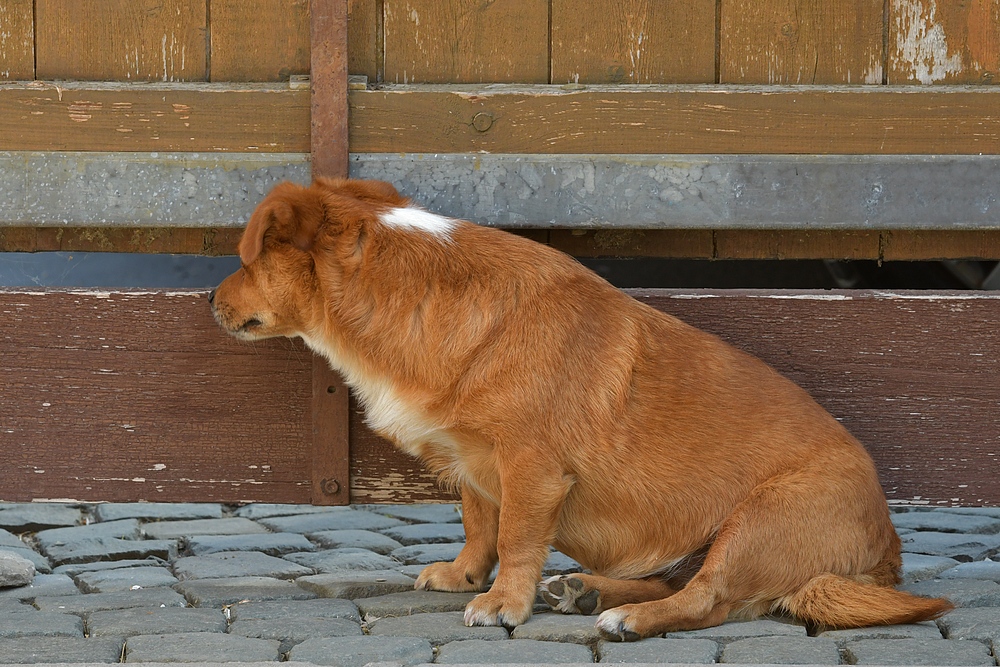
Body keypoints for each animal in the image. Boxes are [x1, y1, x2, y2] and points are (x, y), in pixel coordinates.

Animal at [213, 180, 952, 640]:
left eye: (247, 260)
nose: (211, 300)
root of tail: (886, 552)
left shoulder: (532, 471)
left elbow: (516, 538)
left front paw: (501, 604)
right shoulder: (478, 466)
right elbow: (479, 523)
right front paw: (463, 575)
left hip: (757, 524)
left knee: (709, 599)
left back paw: (626, 620)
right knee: (678, 581)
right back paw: (589, 591)